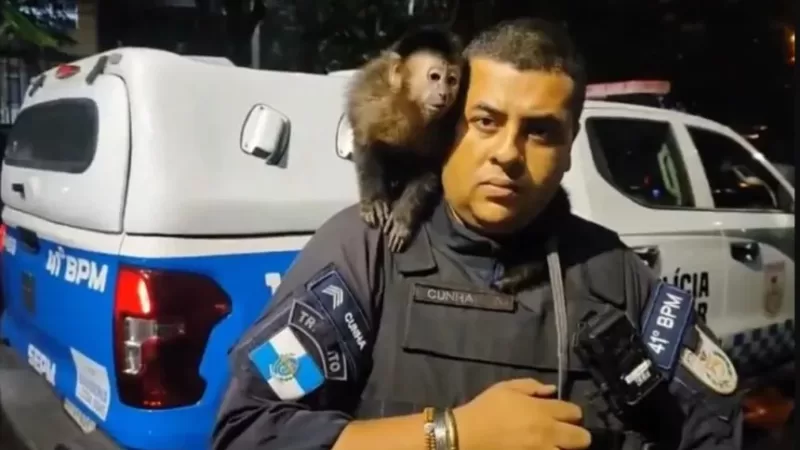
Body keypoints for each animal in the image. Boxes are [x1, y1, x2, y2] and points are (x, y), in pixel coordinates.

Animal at [346, 27, 464, 253]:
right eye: (435, 77)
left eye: (452, 81)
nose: (444, 94)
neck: (410, 107)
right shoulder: (373, 96)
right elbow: (366, 142)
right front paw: (374, 201)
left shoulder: (452, 118)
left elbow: (429, 170)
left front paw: (403, 219)